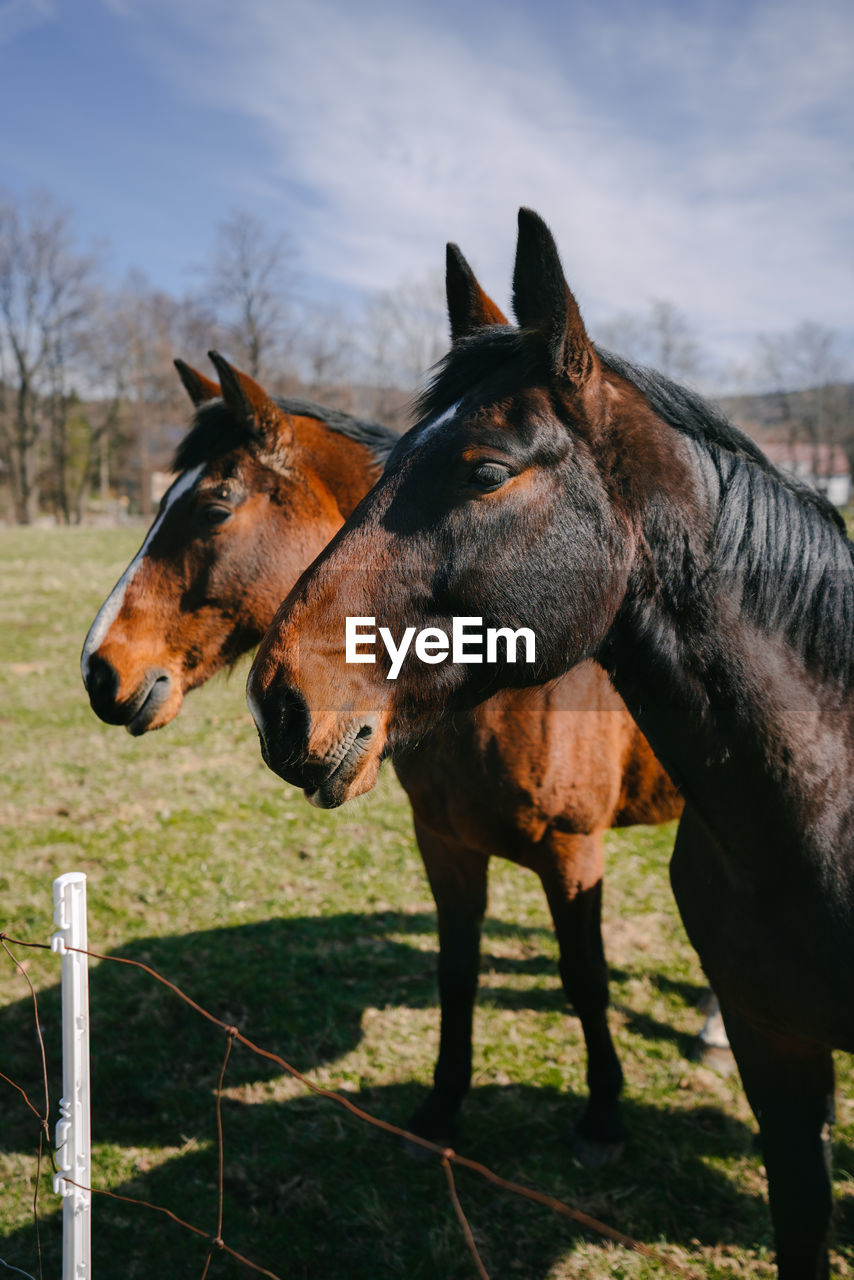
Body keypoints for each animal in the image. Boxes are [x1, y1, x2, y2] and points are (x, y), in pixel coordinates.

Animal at [80, 337, 681, 1162]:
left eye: (214, 507)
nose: (99, 669)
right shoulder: (444, 844)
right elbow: (456, 973)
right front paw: (442, 1106)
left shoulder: (573, 853)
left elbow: (585, 979)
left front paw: (603, 1116)